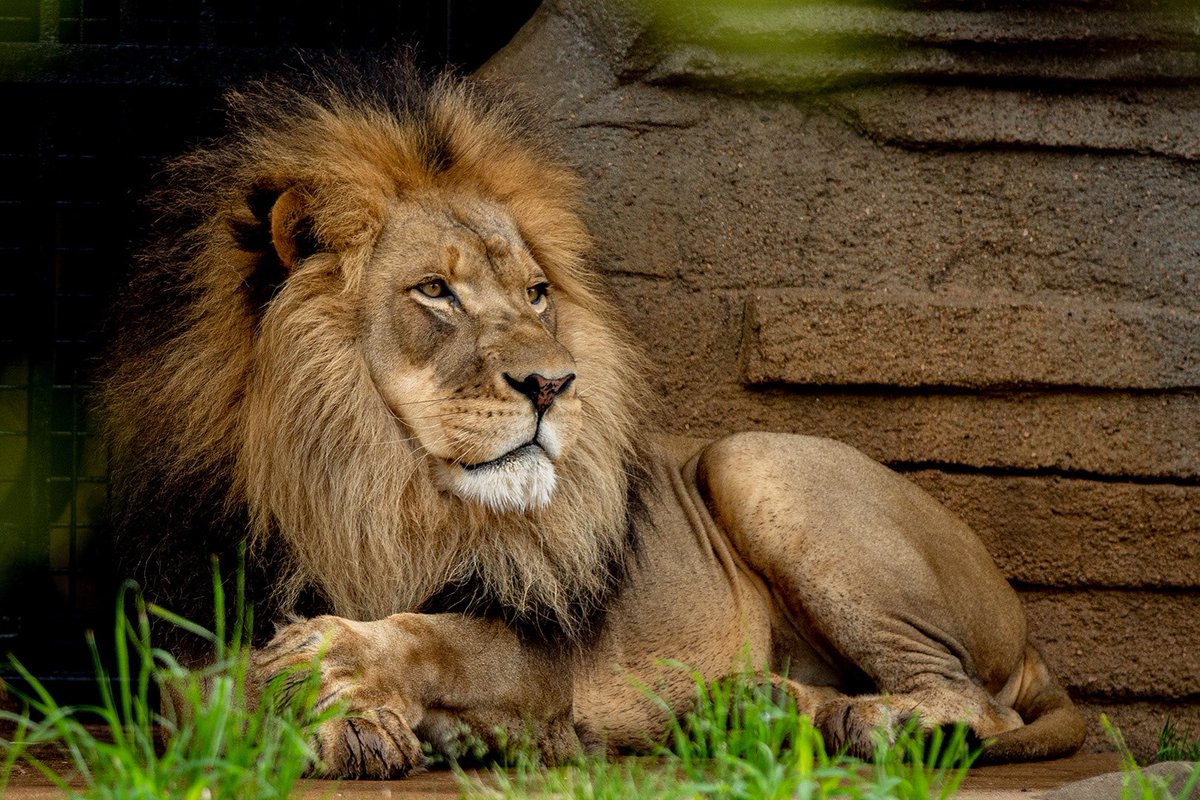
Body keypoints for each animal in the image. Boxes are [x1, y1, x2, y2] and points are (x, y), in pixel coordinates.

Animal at [98, 61, 1086, 777]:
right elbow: (206, 694)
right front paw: (343, 722)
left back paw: (859, 722)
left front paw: (338, 666)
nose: (553, 383)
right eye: (435, 291)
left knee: (968, 700)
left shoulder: (536, 649)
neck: (365, 488)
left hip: (755, 460)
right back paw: (761, 712)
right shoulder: (177, 630)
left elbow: (437, 638)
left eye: (537, 293)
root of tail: (1033, 638)